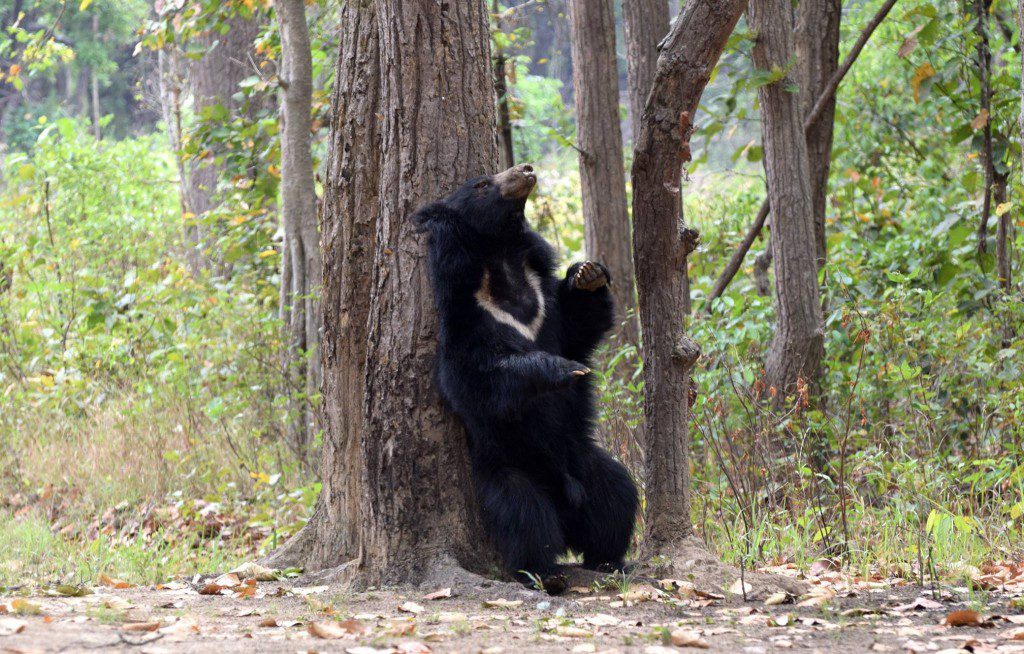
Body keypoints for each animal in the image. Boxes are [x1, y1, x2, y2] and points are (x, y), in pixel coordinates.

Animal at [415, 162, 638, 593]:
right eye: (483, 184)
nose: (526, 169)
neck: (500, 253)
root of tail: (567, 506)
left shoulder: (545, 304)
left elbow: (577, 327)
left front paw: (587, 273)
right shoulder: (467, 325)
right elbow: (485, 378)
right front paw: (567, 369)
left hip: (584, 458)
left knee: (617, 494)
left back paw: (609, 559)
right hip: (506, 469)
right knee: (525, 517)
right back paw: (546, 572)